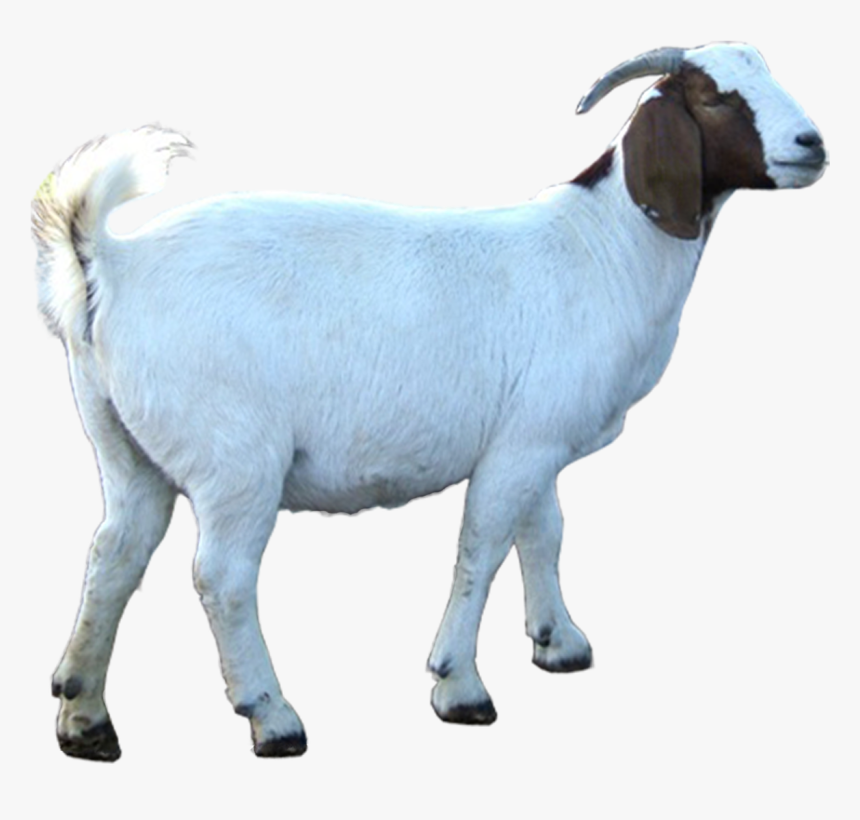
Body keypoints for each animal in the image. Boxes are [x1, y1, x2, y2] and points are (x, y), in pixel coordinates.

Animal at [32, 42, 826, 760]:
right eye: (715, 97)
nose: (813, 145)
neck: (605, 250)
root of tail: (112, 264)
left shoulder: (535, 436)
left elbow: (544, 532)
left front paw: (558, 643)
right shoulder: (521, 445)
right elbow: (482, 547)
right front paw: (459, 686)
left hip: (123, 445)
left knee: (113, 552)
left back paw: (85, 717)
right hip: (236, 458)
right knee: (222, 576)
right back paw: (272, 716)